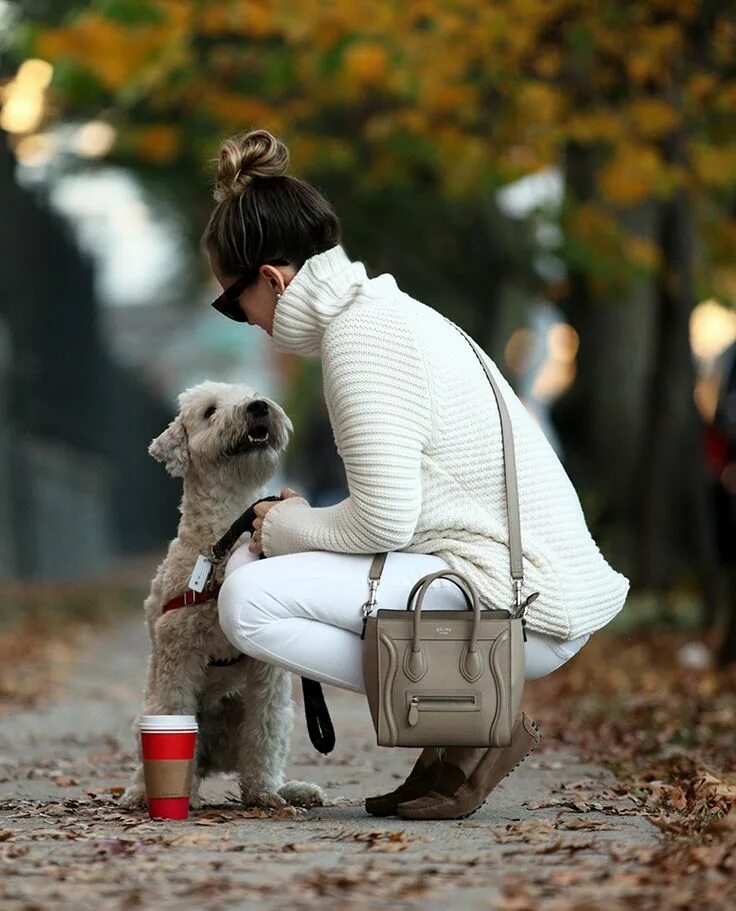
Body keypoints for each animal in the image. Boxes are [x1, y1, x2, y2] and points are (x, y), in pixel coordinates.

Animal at [121, 382, 324, 808]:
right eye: (210, 411)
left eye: (250, 394)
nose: (259, 406)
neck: (229, 534)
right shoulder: (177, 657)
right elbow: (174, 717)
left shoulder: (267, 673)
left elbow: (263, 733)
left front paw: (266, 795)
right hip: (149, 709)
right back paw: (141, 792)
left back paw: (288, 789)